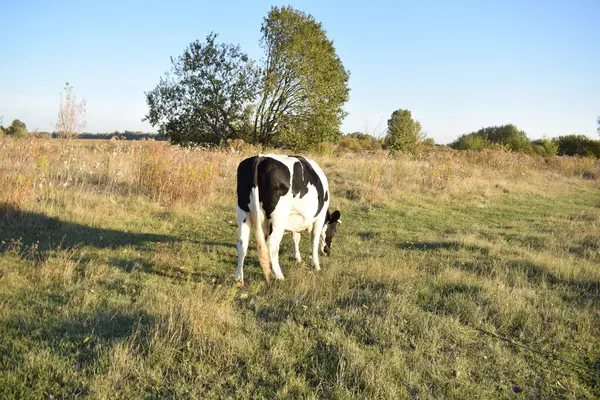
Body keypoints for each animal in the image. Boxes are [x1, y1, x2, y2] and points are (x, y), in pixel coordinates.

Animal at [236, 154, 342, 284]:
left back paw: (238, 278)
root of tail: (260, 158)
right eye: (334, 230)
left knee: (242, 243)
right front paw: (316, 265)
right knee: (272, 244)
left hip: (243, 211)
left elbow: (296, 237)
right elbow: (314, 240)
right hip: (278, 217)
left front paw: (297, 257)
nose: (328, 251)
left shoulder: (294, 218)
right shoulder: (319, 218)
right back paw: (279, 276)